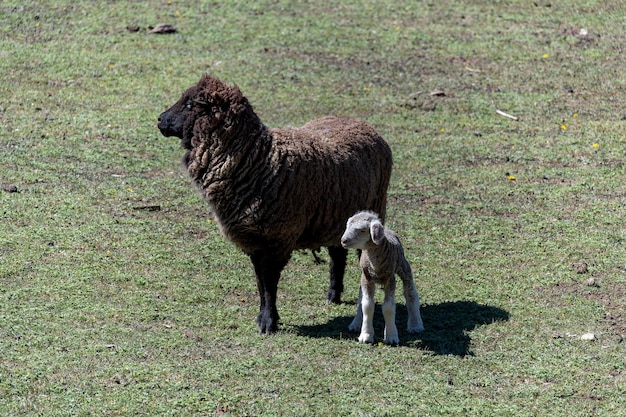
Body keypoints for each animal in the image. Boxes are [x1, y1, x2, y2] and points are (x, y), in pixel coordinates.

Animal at [156, 75, 390, 334]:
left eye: (190, 104)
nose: (160, 120)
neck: (257, 159)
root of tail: (363, 123)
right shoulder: (255, 241)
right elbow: (260, 282)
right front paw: (263, 317)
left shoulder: (278, 238)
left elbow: (269, 282)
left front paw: (268, 322)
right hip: (335, 218)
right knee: (337, 255)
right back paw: (333, 295)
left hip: (373, 208)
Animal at [342, 210, 424, 342]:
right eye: (348, 226)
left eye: (362, 230)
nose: (343, 241)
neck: (375, 264)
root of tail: (388, 229)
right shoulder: (367, 278)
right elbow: (366, 305)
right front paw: (366, 335)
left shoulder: (390, 279)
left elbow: (388, 307)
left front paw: (391, 336)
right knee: (360, 298)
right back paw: (355, 324)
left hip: (403, 266)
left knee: (411, 293)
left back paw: (415, 325)